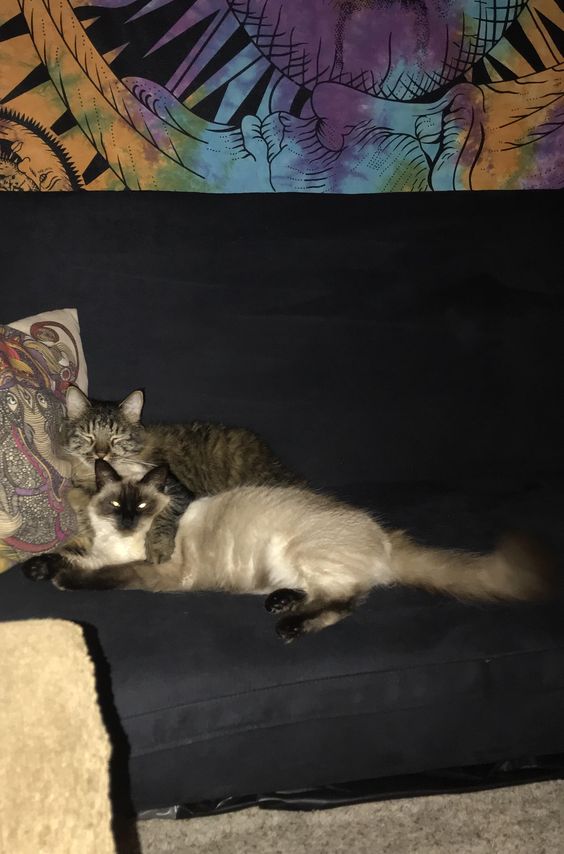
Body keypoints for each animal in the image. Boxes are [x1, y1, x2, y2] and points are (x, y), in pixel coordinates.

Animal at [20, 462, 552, 640]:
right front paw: (37, 568)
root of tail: (384, 535)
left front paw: (63, 579)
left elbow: (103, 575)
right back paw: (281, 604)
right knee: (335, 596)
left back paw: (288, 626)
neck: (120, 540)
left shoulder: (152, 571)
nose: (129, 521)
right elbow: (70, 556)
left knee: (344, 602)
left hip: (303, 552)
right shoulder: (101, 550)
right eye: (115, 505)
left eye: (143, 506)